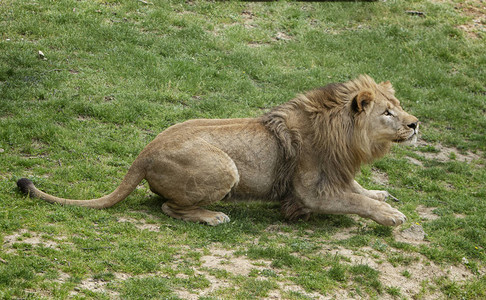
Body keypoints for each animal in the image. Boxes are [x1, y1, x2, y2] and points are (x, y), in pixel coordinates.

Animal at [16, 75, 418, 225]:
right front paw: (390, 215)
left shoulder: (336, 175)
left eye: (399, 106)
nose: (415, 124)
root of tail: (143, 154)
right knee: (169, 206)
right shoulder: (309, 192)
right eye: (387, 112)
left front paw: (380, 193)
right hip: (225, 168)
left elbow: (358, 190)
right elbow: (353, 201)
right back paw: (213, 216)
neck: (346, 137)